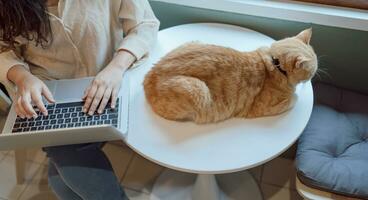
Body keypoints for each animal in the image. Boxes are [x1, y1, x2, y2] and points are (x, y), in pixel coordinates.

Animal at [142, 28, 318, 123]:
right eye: (313, 70)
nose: (313, 76)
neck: (275, 63)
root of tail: (149, 75)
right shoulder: (265, 107)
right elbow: (294, 98)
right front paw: (294, 94)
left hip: (194, 42)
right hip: (197, 89)